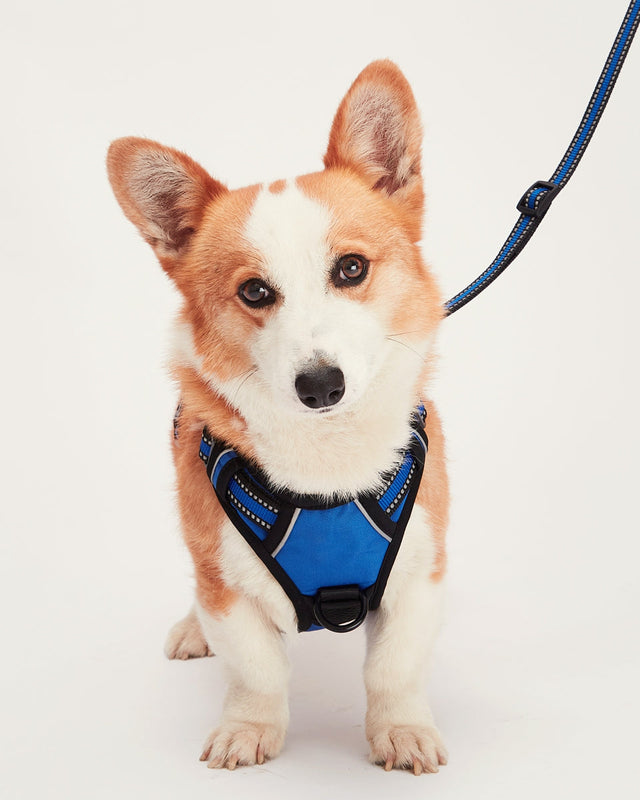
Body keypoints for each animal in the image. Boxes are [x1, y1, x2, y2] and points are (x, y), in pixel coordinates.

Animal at [107, 61, 450, 776]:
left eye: (351, 268)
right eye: (254, 291)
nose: (320, 386)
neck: (325, 461)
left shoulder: (419, 578)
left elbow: (393, 670)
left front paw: (402, 731)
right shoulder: (226, 584)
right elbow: (257, 669)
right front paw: (248, 730)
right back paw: (191, 631)